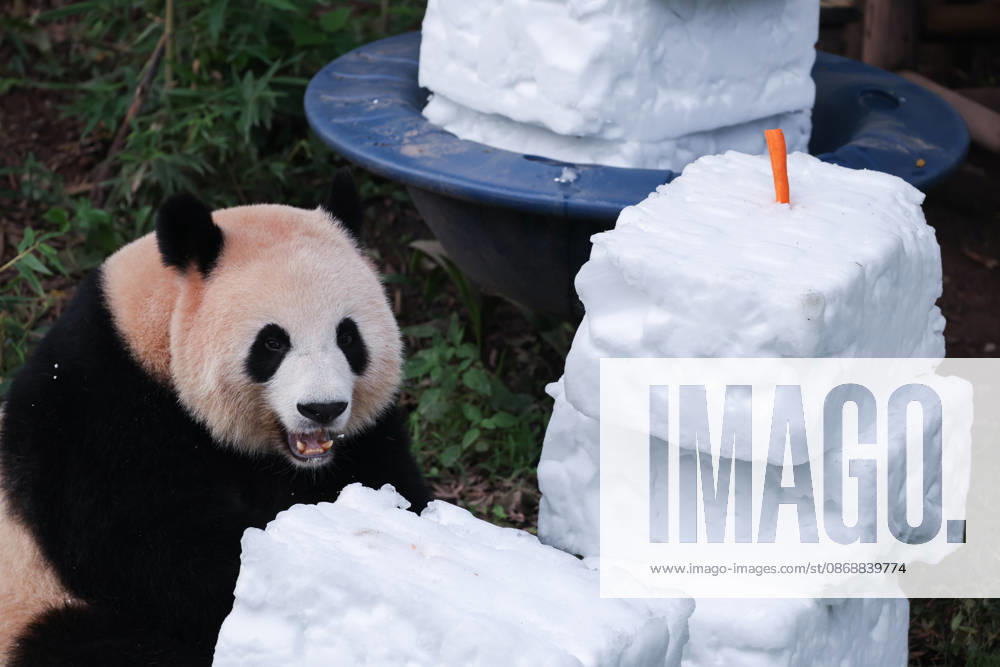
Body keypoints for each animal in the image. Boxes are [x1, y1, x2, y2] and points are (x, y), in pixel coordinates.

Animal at [0, 171, 430, 665]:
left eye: (347, 336)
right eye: (272, 342)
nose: (321, 408)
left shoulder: (363, 438)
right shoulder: (97, 418)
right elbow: (161, 549)